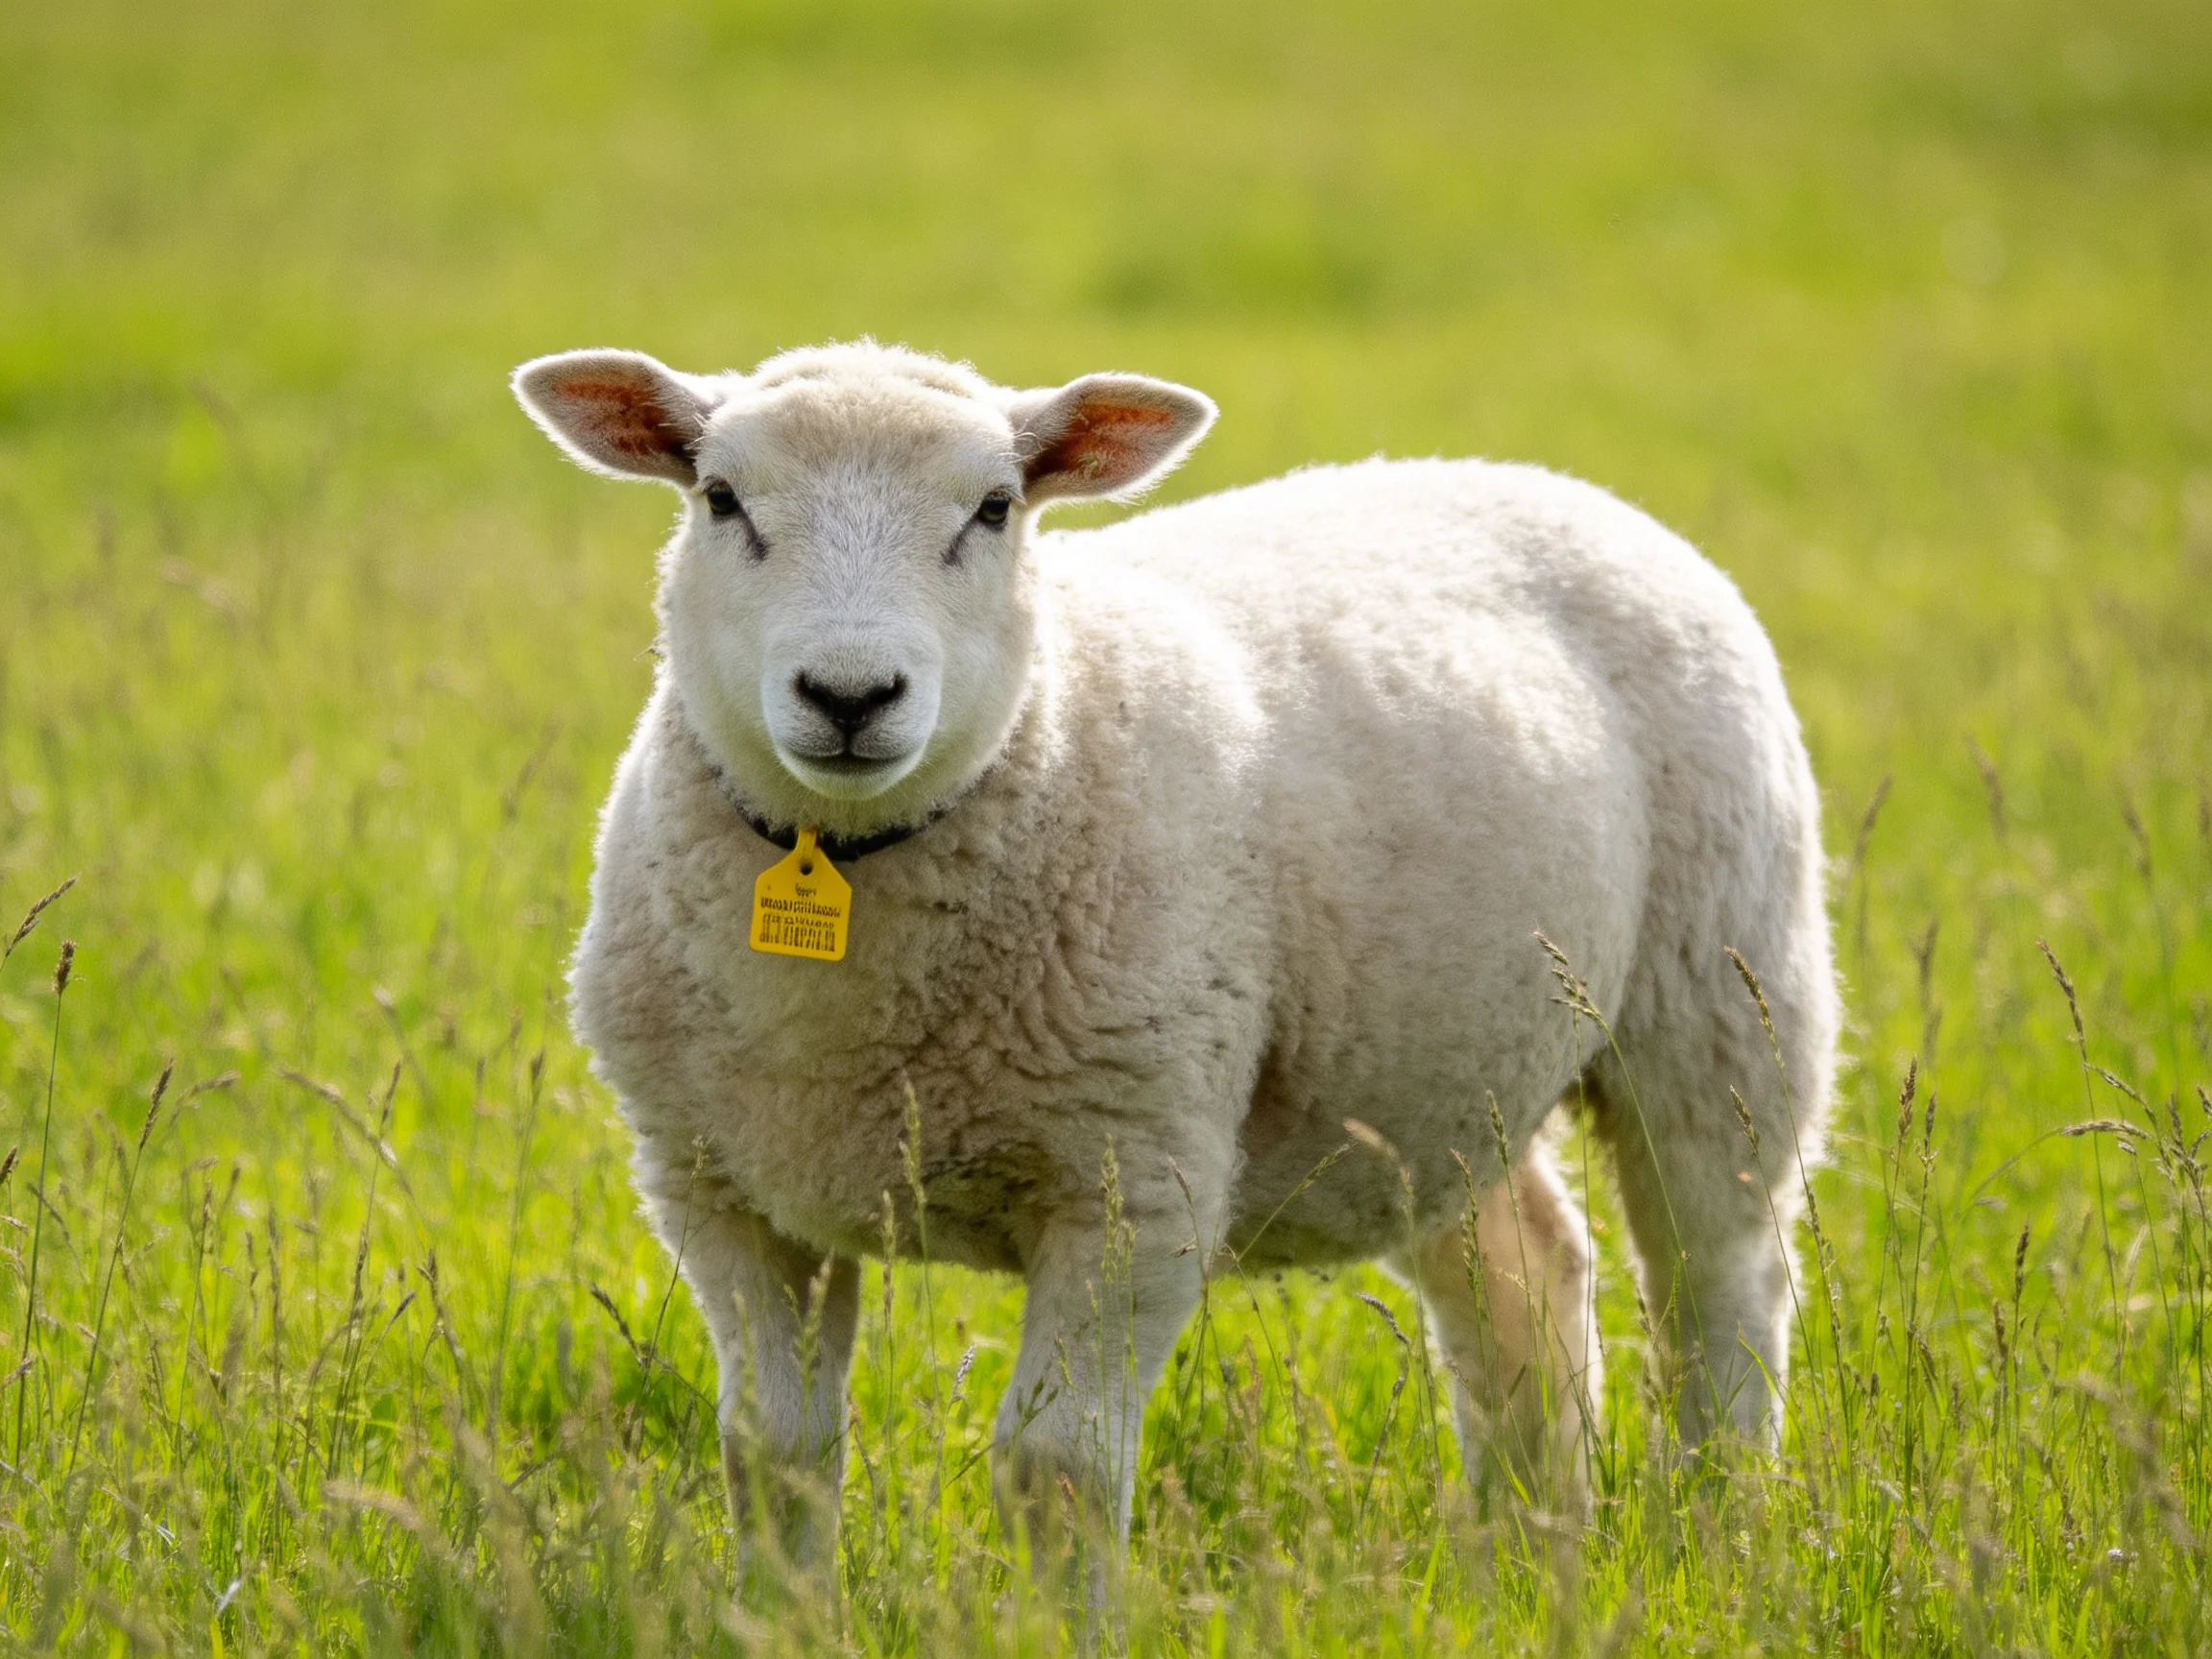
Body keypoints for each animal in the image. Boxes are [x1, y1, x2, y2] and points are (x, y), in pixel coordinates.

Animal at [511, 339, 1839, 1574]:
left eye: (995, 508)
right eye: (721, 498)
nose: (849, 695)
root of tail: (1557, 483)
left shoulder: (1134, 1177)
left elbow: (1052, 1468)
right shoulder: (720, 1193)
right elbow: (774, 1455)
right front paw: (781, 1618)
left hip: (1719, 1000)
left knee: (1722, 1288)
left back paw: (1718, 1530)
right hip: (1432, 1069)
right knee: (1525, 1271)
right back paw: (1529, 1540)